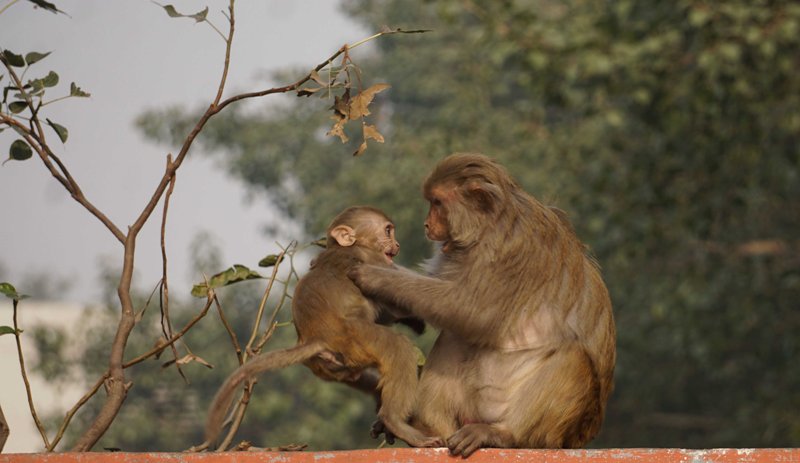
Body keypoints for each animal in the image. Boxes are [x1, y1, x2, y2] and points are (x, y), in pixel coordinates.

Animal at [204, 206, 443, 449]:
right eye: (388, 231)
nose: (397, 244)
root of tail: (314, 339)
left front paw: (414, 322)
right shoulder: (372, 259)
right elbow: (392, 298)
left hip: (332, 362)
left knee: (356, 374)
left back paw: (382, 409)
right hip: (356, 337)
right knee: (397, 347)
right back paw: (394, 420)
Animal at [349, 153, 616, 457]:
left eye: (437, 203)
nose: (426, 225)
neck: (491, 225)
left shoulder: (511, 250)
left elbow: (471, 312)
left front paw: (374, 276)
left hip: (553, 432)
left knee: (574, 357)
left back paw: (503, 435)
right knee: (454, 338)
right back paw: (426, 428)